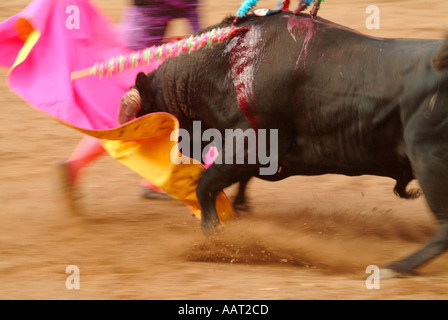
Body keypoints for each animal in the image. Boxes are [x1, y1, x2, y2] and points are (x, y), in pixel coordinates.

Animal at [133, 11, 448, 274]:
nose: (176, 156)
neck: (226, 66)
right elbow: (234, 183)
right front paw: (239, 210)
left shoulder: (252, 144)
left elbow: (205, 185)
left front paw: (214, 237)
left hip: (429, 161)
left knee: (443, 231)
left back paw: (397, 267)